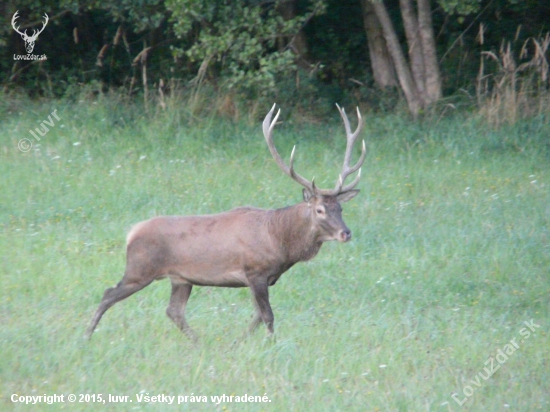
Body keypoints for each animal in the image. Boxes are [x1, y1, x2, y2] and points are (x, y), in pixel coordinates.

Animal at [87, 104, 366, 342]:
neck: (281, 242)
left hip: (180, 278)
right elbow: (268, 315)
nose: (346, 233)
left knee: (173, 311)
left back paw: (198, 342)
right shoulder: (255, 271)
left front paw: (238, 341)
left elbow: (256, 316)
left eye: (340, 208)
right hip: (139, 269)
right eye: (320, 210)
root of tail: (131, 233)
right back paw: (86, 336)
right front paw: (270, 343)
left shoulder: (262, 278)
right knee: (108, 294)